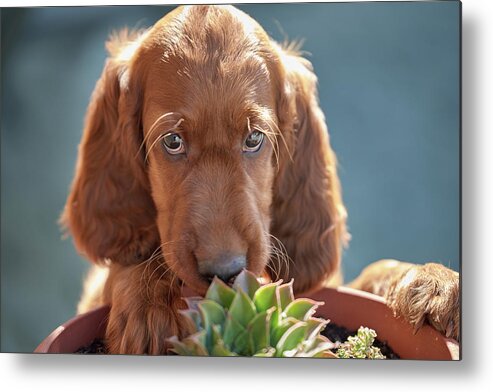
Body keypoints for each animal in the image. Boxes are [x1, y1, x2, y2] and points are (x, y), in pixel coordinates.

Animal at [60, 4, 458, 354]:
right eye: (172, 142)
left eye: (254, 139)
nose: (224, 272)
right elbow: (125, 266)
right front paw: (148, 303)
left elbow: (374, 271)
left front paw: (432, 281)